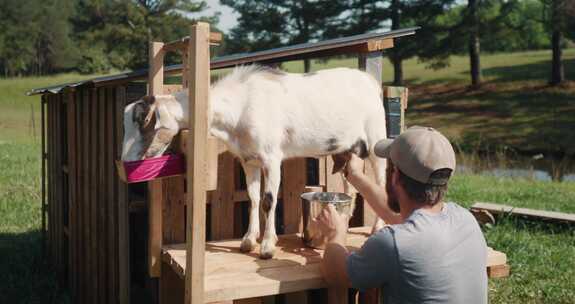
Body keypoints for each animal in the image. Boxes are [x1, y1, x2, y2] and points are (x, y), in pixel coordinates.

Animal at [124, 66, 390, 258]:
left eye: (144, 120)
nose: (126, 161)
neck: (239, 107)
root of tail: (370, 81)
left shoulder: (272, 159)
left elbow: (268, 200)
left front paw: (267, 247)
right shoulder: (248, 160)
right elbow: (252, 198)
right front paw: (248, 240)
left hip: (376, 139)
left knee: (381, 182)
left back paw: (376, 228)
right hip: (348, 149)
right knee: (350, 185)